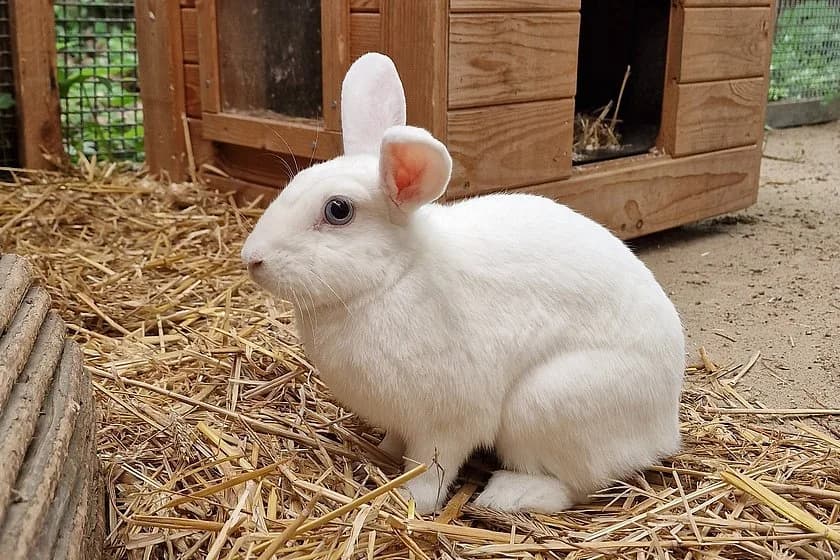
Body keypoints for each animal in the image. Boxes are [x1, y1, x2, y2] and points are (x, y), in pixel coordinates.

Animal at [241, 52, 685, 514]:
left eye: (338, 210)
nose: (252, 258)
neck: (394, 276)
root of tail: (664, 427)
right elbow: (398, 441)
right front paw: (383, 452)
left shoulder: (445, 424)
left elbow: (432, 467)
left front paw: (411, 499)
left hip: (546, 405)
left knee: (577, 485)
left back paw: (508, 495)